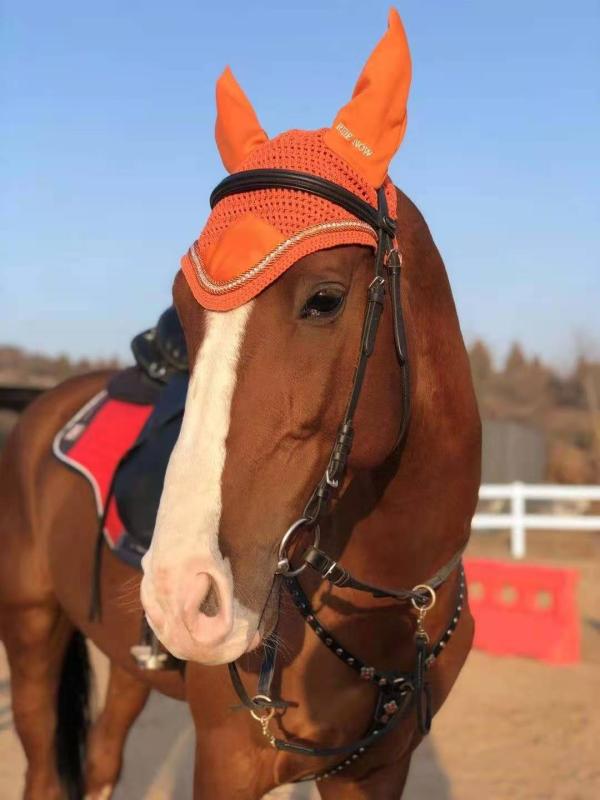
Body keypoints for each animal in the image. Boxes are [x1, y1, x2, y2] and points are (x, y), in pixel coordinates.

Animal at [0, 10, 481, 799]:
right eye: (185, 305)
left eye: (325, 299)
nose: (180, 594)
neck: (387, 607)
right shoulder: (226, 758)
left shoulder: (378, 770)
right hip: (33, 630)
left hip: (126, 663)